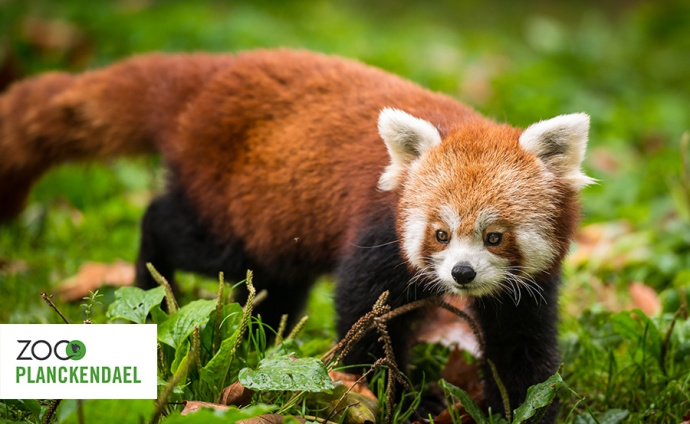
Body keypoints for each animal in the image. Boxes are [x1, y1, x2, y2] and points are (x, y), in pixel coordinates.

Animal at [1, 49, 592, 420]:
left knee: (270, 284)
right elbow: (363, 316)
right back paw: (154, 282)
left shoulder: (527, 287)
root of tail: (209, 75)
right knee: (172, 227)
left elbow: (522, 348)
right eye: (442, 234)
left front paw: (522, 408)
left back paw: (262, 337)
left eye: (494, 237)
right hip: (230, 203)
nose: (461, 275)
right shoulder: (376, 233)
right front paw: (389, 398)